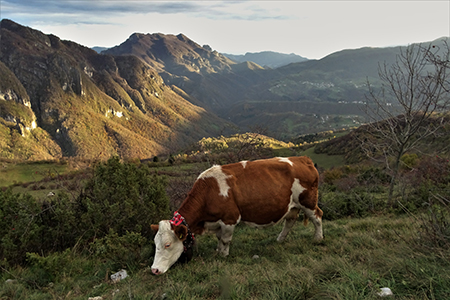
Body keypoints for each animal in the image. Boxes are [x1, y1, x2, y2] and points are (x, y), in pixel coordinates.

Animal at [151, 156, 324, 276]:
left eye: (167, 244)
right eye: (155, 243)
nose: (154, 270)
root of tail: (302, 158)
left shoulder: (230, 218)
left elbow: (225, 239)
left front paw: (223, 255)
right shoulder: (217, 222)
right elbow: (219, 238)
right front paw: (218, 251)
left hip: (308, 201)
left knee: (318, 216)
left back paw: (318, 238)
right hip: (292, 206)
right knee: (290, 221)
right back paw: (280, 239)